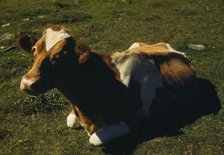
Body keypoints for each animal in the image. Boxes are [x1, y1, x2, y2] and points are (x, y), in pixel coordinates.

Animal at [17, 25, 198, 145]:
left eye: (61, 54)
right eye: (34, 49)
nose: (27, 82)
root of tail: (175, 50)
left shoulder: (129, 122)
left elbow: (94, 139)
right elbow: (70, 121)